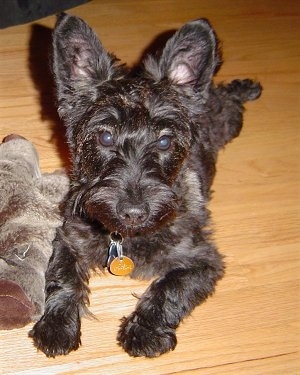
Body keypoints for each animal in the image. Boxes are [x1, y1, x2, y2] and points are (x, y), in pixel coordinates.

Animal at [29, 13, 262, 358]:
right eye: (105, 136)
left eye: (164, 141)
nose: (134, 212)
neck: (127, 237)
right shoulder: (69, 236)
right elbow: (63, 276)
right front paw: (57, 325)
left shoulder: (202, 260)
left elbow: (170, 288)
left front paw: (144, 332)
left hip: (229, 121)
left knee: (229, 98)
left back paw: (246, 87)